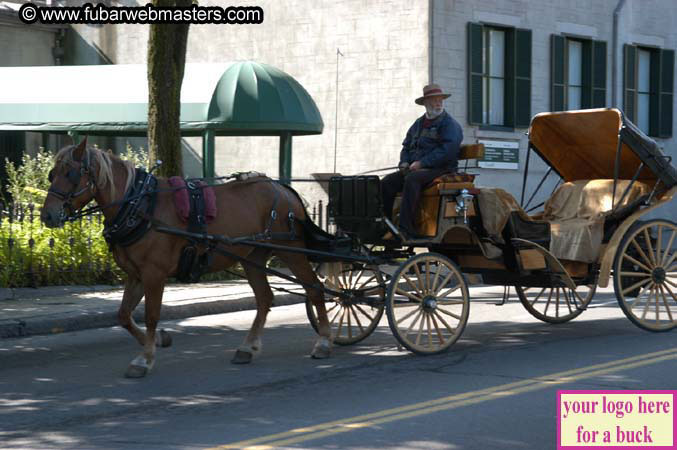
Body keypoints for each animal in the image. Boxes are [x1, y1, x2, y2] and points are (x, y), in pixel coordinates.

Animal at [39, 140, 330, 376]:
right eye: (53, 174)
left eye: (71, 174)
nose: (47, 215)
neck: (140, 206)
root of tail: (283, 188)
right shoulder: (135, 274)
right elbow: (123, 315)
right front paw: (157, 341)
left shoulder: (154, 274)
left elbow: (152, 315)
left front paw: (145, 359)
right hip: (253, 258)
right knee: (264, 298)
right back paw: (247, 348)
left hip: (291, 250)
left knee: (315, 289)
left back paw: (324, 341)